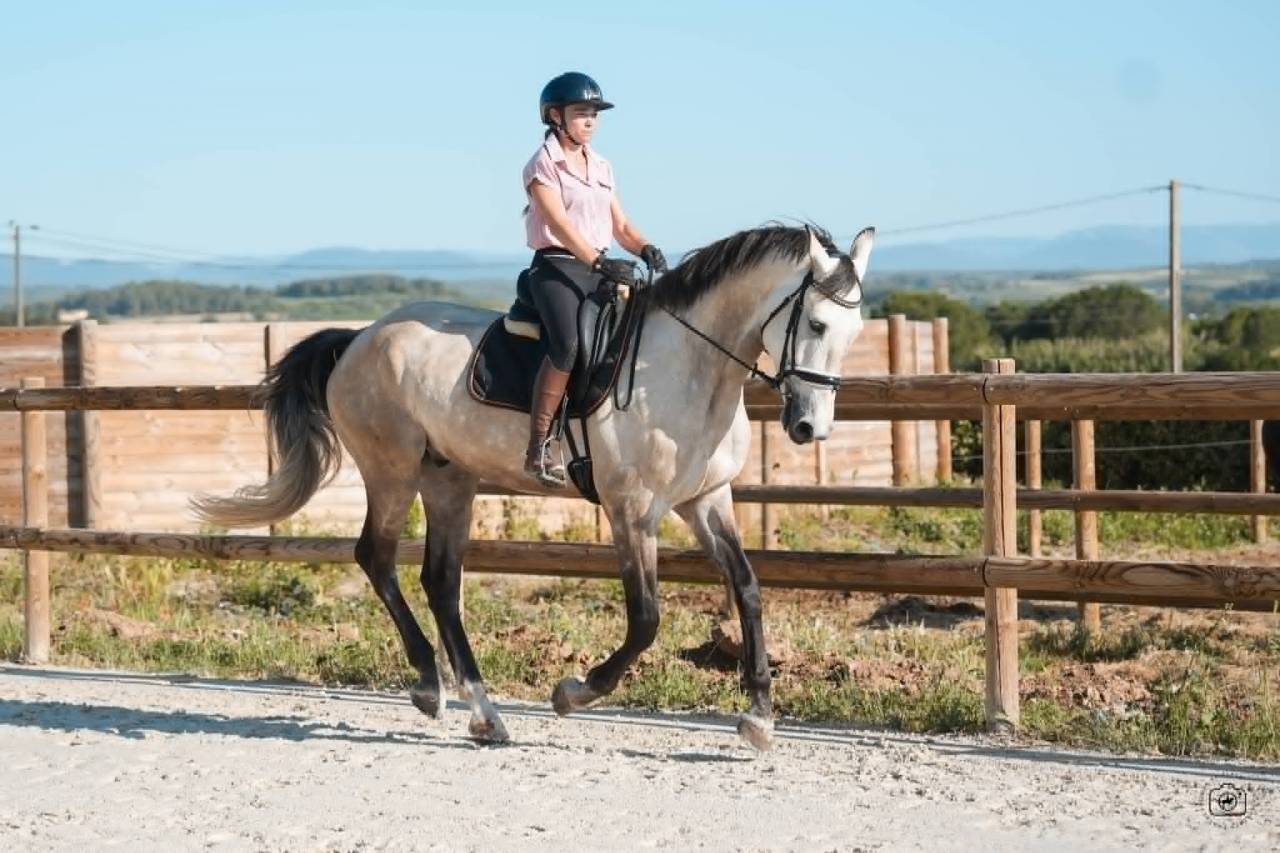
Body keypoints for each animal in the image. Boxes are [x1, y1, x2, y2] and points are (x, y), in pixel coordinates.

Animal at [192, 223, 874, 750]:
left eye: (855, 332)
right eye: (815, 324)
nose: (810, 426)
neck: (688, 367)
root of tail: (360, 336)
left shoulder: (705, 501)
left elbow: (749, 590)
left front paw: (758, 718)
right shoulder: (632, 510)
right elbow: (647, 618)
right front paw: (573, 692)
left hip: (449, 480)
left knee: (440, 582)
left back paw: (483, 713)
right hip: (391, 471)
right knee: (376, 557)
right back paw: (429, 686)